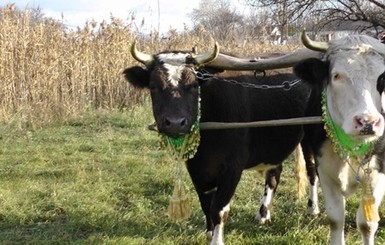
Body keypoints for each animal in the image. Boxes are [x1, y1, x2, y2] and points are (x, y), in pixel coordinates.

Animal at [123, 41, 318, 244]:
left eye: (194, 85)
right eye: (153, 86)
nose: (175, 123)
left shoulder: (232, 167)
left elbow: (219, 208)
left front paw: (217, 240)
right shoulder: (196, 167)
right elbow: (205, 203)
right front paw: (209, 233)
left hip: (309, 136)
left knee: (312, 170)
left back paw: (312, 209)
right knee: (274, 173)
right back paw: (263, 213)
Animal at [294, 31, 384, 245]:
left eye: (382, 77)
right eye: (336, 75)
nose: (367, 122)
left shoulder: (378, 173)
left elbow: (367, 224)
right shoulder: (326, 173)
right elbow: (336, 219)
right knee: (310, 173)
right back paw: (312, 208)